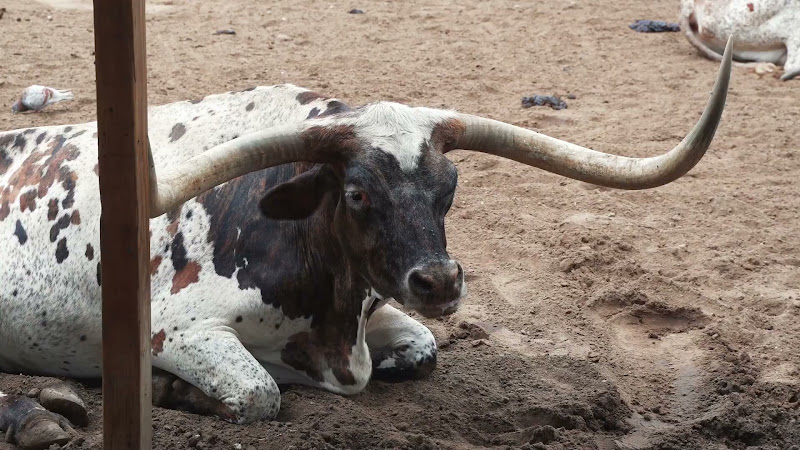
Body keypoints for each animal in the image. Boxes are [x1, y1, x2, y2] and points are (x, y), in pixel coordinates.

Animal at [0, 41, 732, 449]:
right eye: (356, 193)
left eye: (450, 185)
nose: (440, 281)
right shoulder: (177, 329)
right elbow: (260, 394)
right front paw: (170, 391)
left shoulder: (379, 311)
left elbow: (423, 350)